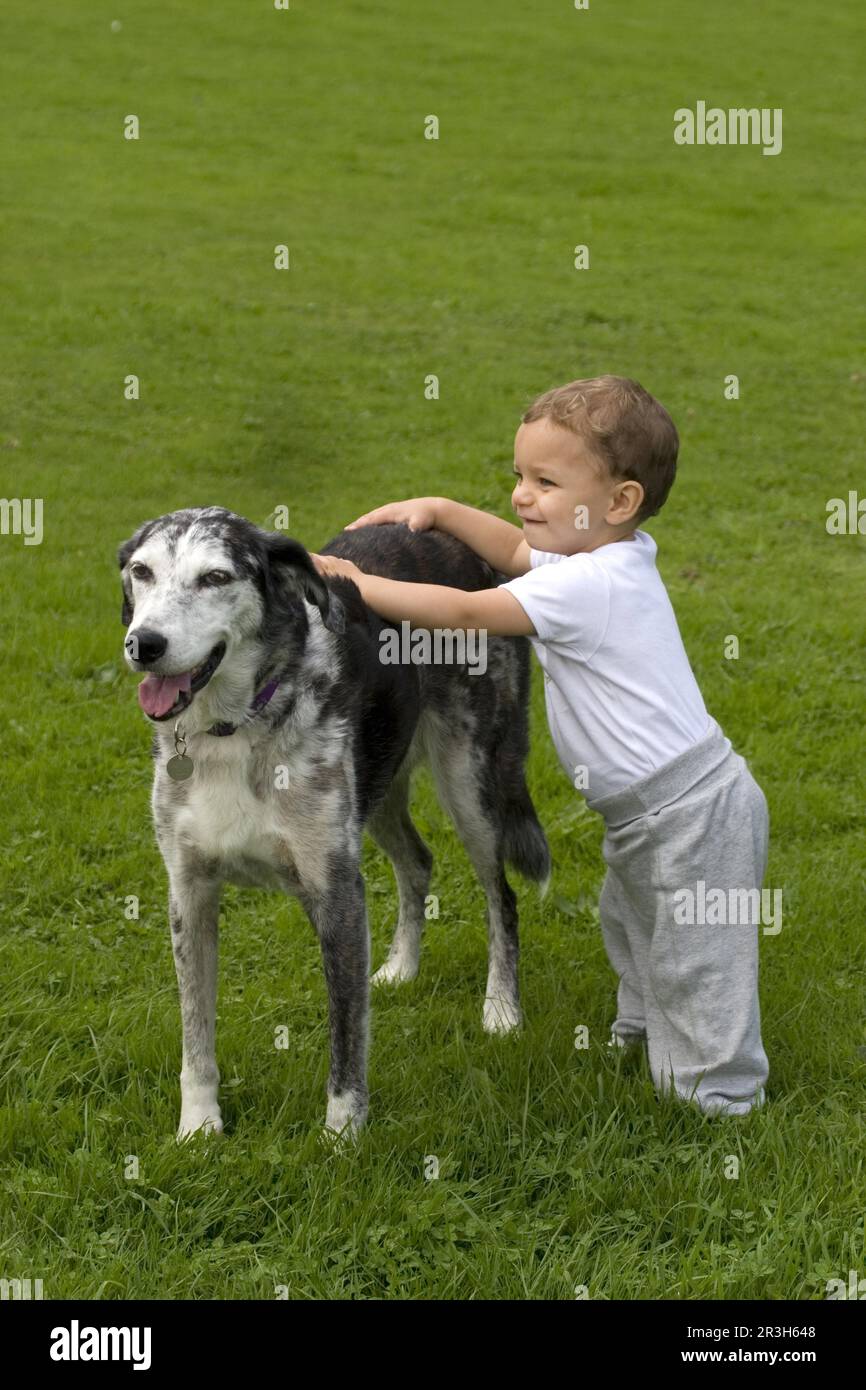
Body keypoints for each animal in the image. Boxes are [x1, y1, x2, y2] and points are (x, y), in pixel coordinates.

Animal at [116, 505, 547, 1134]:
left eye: (216, 577)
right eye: (142, 572)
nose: (144, 643)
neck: (235, 730)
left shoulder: (336, 891)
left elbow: (348, 1035)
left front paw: (343, 1133)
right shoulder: (188, 894)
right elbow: (195, 1032)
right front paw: (198, 1126)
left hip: (469, 784)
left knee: (501, 895)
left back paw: (501, 1009)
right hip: (379, 783)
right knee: (418, 861)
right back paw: (401, 967)